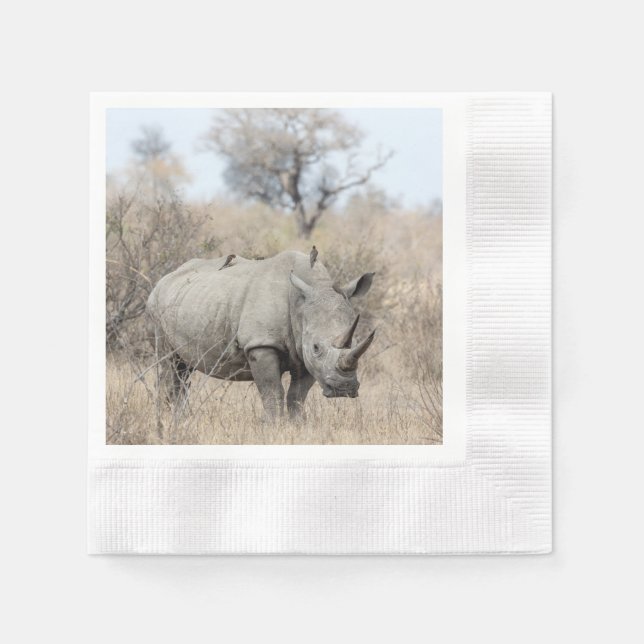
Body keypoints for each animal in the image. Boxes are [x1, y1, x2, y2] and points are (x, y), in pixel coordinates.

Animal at [146, 250, 376, 419]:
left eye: (354, 342)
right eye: (316, 347)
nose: (343, 389)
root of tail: (164, 279)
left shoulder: (304, 352)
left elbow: (297, 396)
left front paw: (297, 426)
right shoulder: (261, 344)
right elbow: (272, 392)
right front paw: (275, 427)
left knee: (183, 371)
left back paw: (179, 420)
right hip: (156, 308)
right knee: (170, 365)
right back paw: (168, 421)